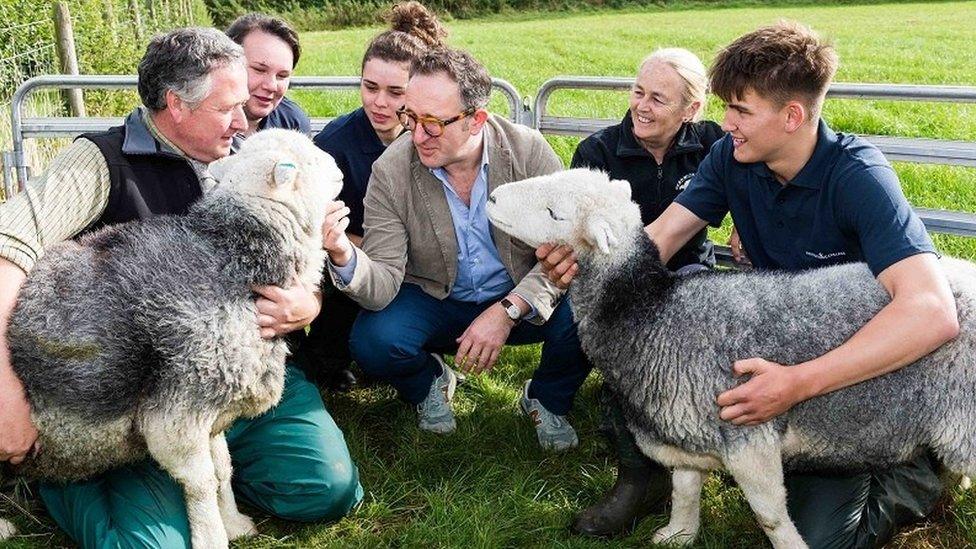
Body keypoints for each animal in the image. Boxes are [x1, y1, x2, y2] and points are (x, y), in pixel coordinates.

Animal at [0, 130, 344, 548]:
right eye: (308, 160)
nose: (341, 170)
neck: (231, 258)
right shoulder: (176, 417)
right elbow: (202, 482)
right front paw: (212, 537)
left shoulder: (212, 411)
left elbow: (223, 468)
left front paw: (234, 523)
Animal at [488, 167, 976, 548]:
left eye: (555, 213)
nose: (491, 197)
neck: (649, 311)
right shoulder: (683, 433)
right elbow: (685, 490)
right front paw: (679, 535)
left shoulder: (750, 442)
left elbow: (771, 518)